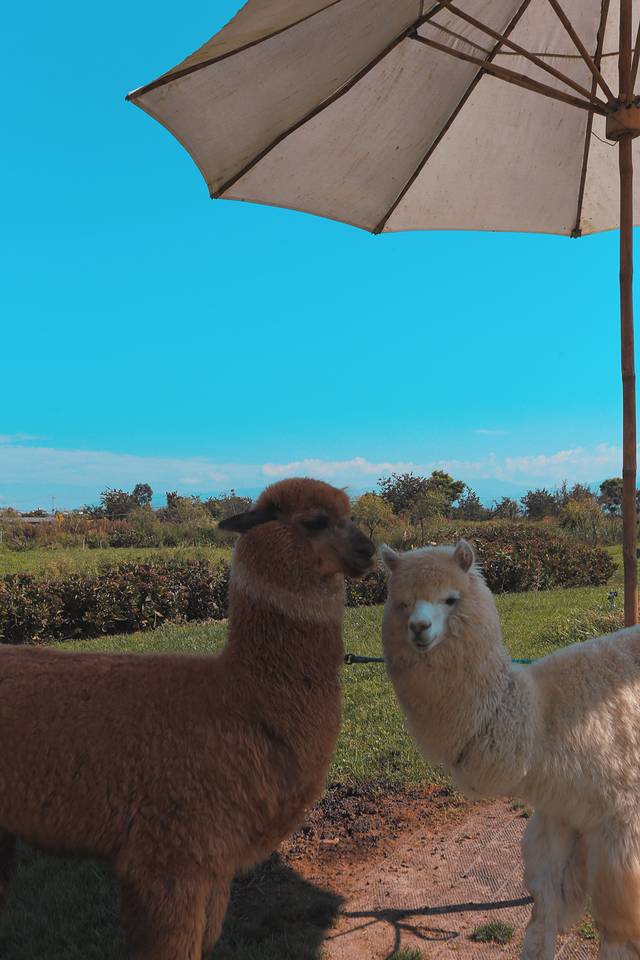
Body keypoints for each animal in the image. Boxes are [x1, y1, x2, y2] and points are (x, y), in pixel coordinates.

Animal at [0, 477, 375, 960]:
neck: (239, 698)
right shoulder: (171, 853)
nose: (369, 549)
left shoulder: (213, 864)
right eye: (314, 521)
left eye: (351, 515)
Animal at [381, 540, 640, 960]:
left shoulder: (622, 822)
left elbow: (618, 935)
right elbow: (542, 919)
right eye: (401, 602)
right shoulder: (560, 815)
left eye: (451, 598)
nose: (419, 628)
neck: (540, 719)